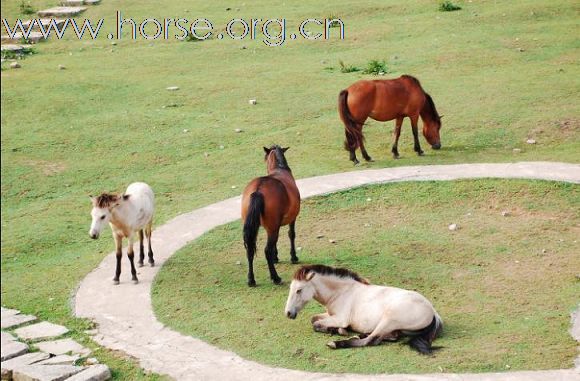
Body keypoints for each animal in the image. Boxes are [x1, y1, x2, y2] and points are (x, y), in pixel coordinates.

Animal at [242, 145, 302, 284]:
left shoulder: (275, 226)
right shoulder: (292, 218)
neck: (279, 169)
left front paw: (276, 257)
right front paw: (293, 257)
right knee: (266, 250)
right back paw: (275, 277)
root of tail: (258, 189)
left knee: (250, 249)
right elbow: (291, 234)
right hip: (272, 227)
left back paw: (251, 279)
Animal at [284, 262, 442, 352]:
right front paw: (337, 330)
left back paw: (336, 343)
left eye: (299, 290)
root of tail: (433, 312)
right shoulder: (330, 315)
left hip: (389, 319)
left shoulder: (340, 319)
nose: (288, 313)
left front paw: (339, 330)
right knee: (390, 337)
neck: (342, 292)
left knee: (372, 340)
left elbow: (316, 324)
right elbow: (313, 319)